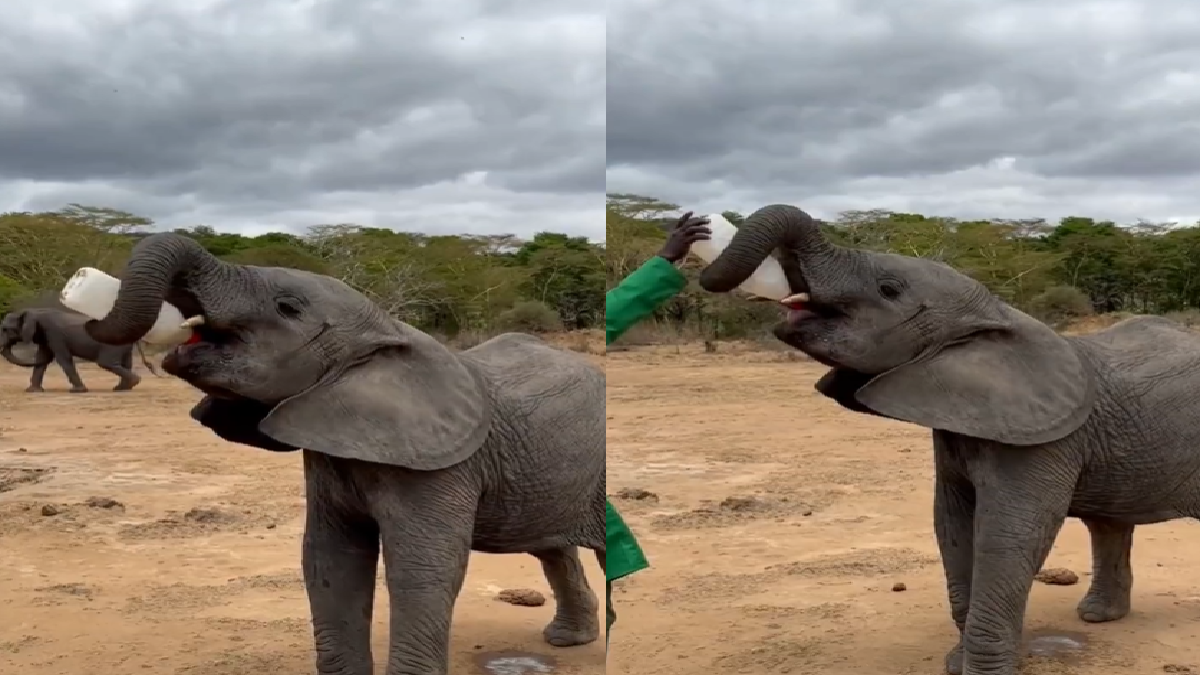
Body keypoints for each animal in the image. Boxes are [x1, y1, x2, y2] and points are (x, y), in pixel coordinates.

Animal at [1, 308, 162, 393]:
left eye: (6, 329)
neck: (34, 312)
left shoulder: (54, 334)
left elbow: (63, 359)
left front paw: (78, 391)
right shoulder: (45, 336)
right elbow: (42, 358)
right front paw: (33, 391)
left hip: (113, 345)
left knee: (106, 363)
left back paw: (129, 384)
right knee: (124, 363)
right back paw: (123, 387)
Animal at [82, 232, 605, 675]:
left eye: (287, 307)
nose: (85, 305)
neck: (383, 335)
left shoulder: (442, 468)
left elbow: (421, 567)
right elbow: (330, 560)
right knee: (550, 546)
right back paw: (566, 640)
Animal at [696, 204, 1200, 675]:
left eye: (889, 289)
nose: (696, 230)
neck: (992, 313)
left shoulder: (1042, 442)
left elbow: (1009, 534)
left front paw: (982, 671)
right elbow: (952, 524)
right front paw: (957, 663)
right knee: (1107, 523)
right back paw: (1097, 617)